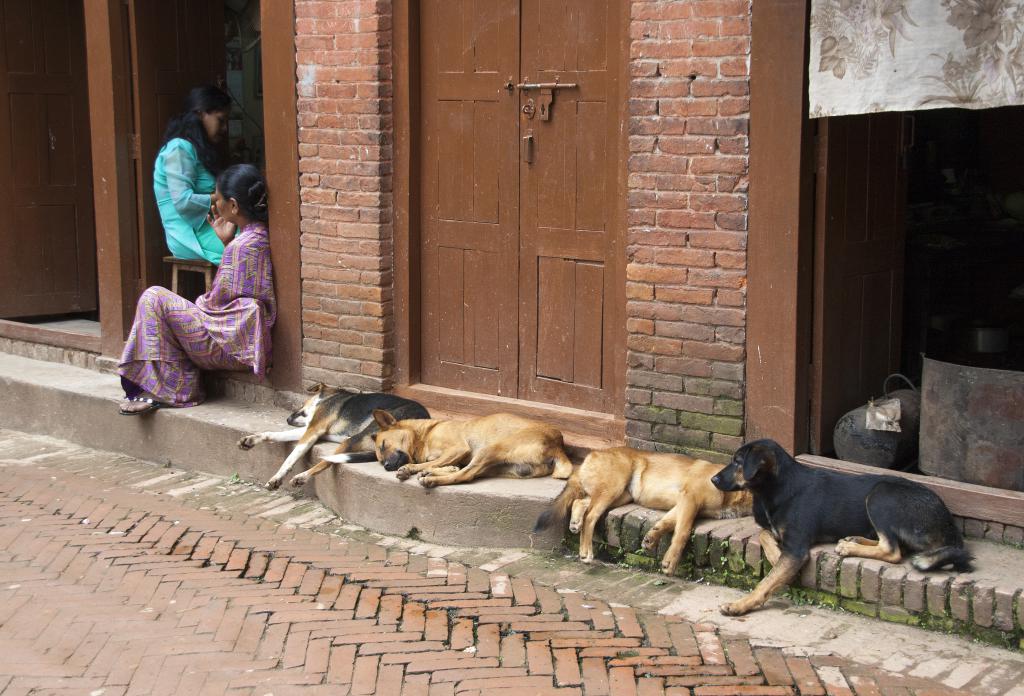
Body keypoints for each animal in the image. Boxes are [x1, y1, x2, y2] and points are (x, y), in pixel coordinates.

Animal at [370, 411, 577, 487]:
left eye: (384, 445)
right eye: (379, 460)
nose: (386, 466)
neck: (426, 434)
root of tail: (557, 445)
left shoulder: (458, 449)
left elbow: (430, 463)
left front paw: (410, 469)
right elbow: (441, 464)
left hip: (488, 450)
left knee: (465, 475)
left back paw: (432, 479)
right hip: (500, 466)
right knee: (468, 473)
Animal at [536, 448, 753, 573]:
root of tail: (590, 456)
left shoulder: (684, 504)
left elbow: (666, 523)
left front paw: (651, 538)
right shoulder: (691, 499)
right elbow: (682, 533)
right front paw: (670, 562)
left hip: (620, 495)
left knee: (579, 502)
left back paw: (575, 523)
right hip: (613, 489)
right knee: (590, 516)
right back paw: (585, 552)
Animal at [708, 440, 970, 614]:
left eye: (738, 462)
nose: (713, 479)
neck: (775, 488)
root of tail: (950, 525)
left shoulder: (796, 549)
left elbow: (766, 582)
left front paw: (739, 605)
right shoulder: (781, 538)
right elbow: (764, 533)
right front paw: (773, 554)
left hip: (881, 495)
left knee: (892, 550)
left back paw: (849, 547)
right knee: (895, 545)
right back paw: (852, 540)